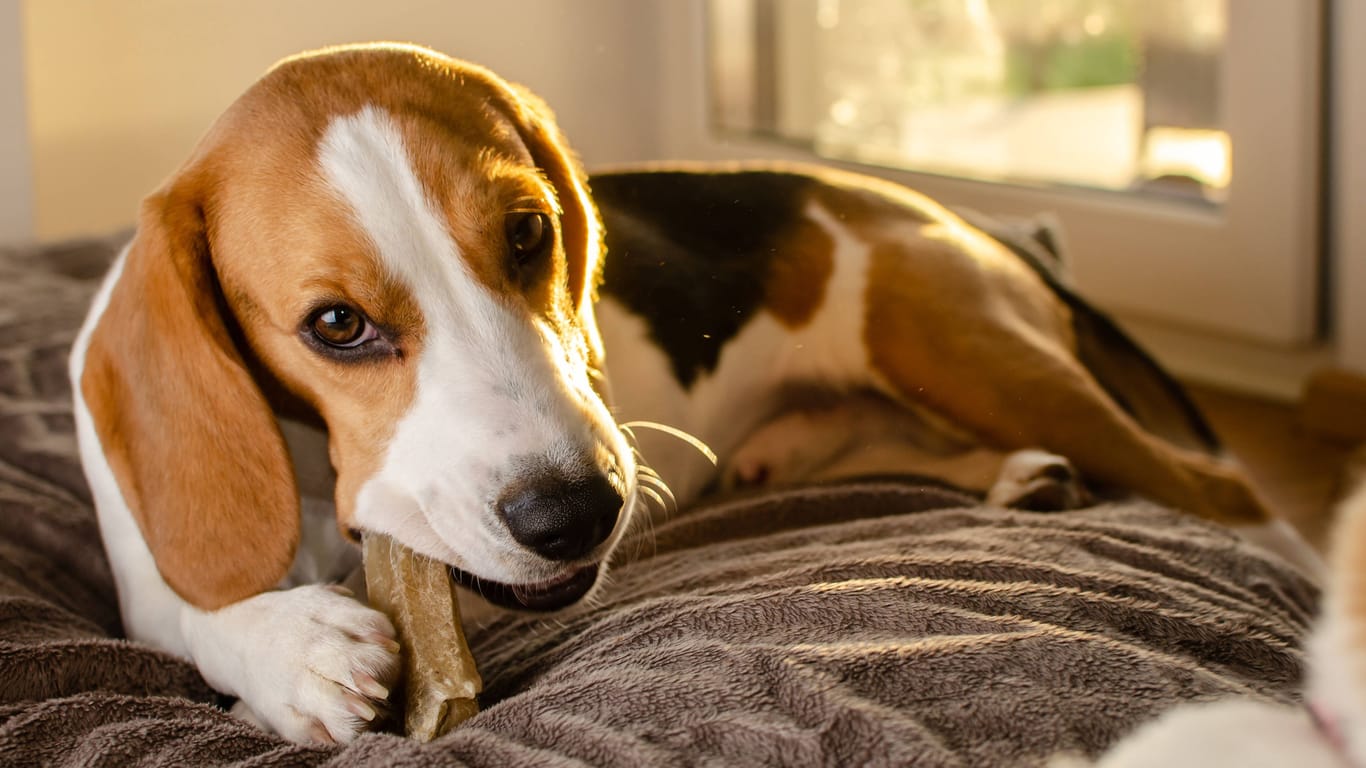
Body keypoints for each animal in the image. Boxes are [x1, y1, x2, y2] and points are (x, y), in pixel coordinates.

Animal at [69, 43, 1305, 743]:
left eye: (529, 234)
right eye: (335, 326)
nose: (575, 513)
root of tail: (949, 211)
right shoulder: (136, 578)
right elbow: (188, 610)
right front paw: (290, 653)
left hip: (969, 351)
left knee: (1224, 491)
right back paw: (1020, 481)